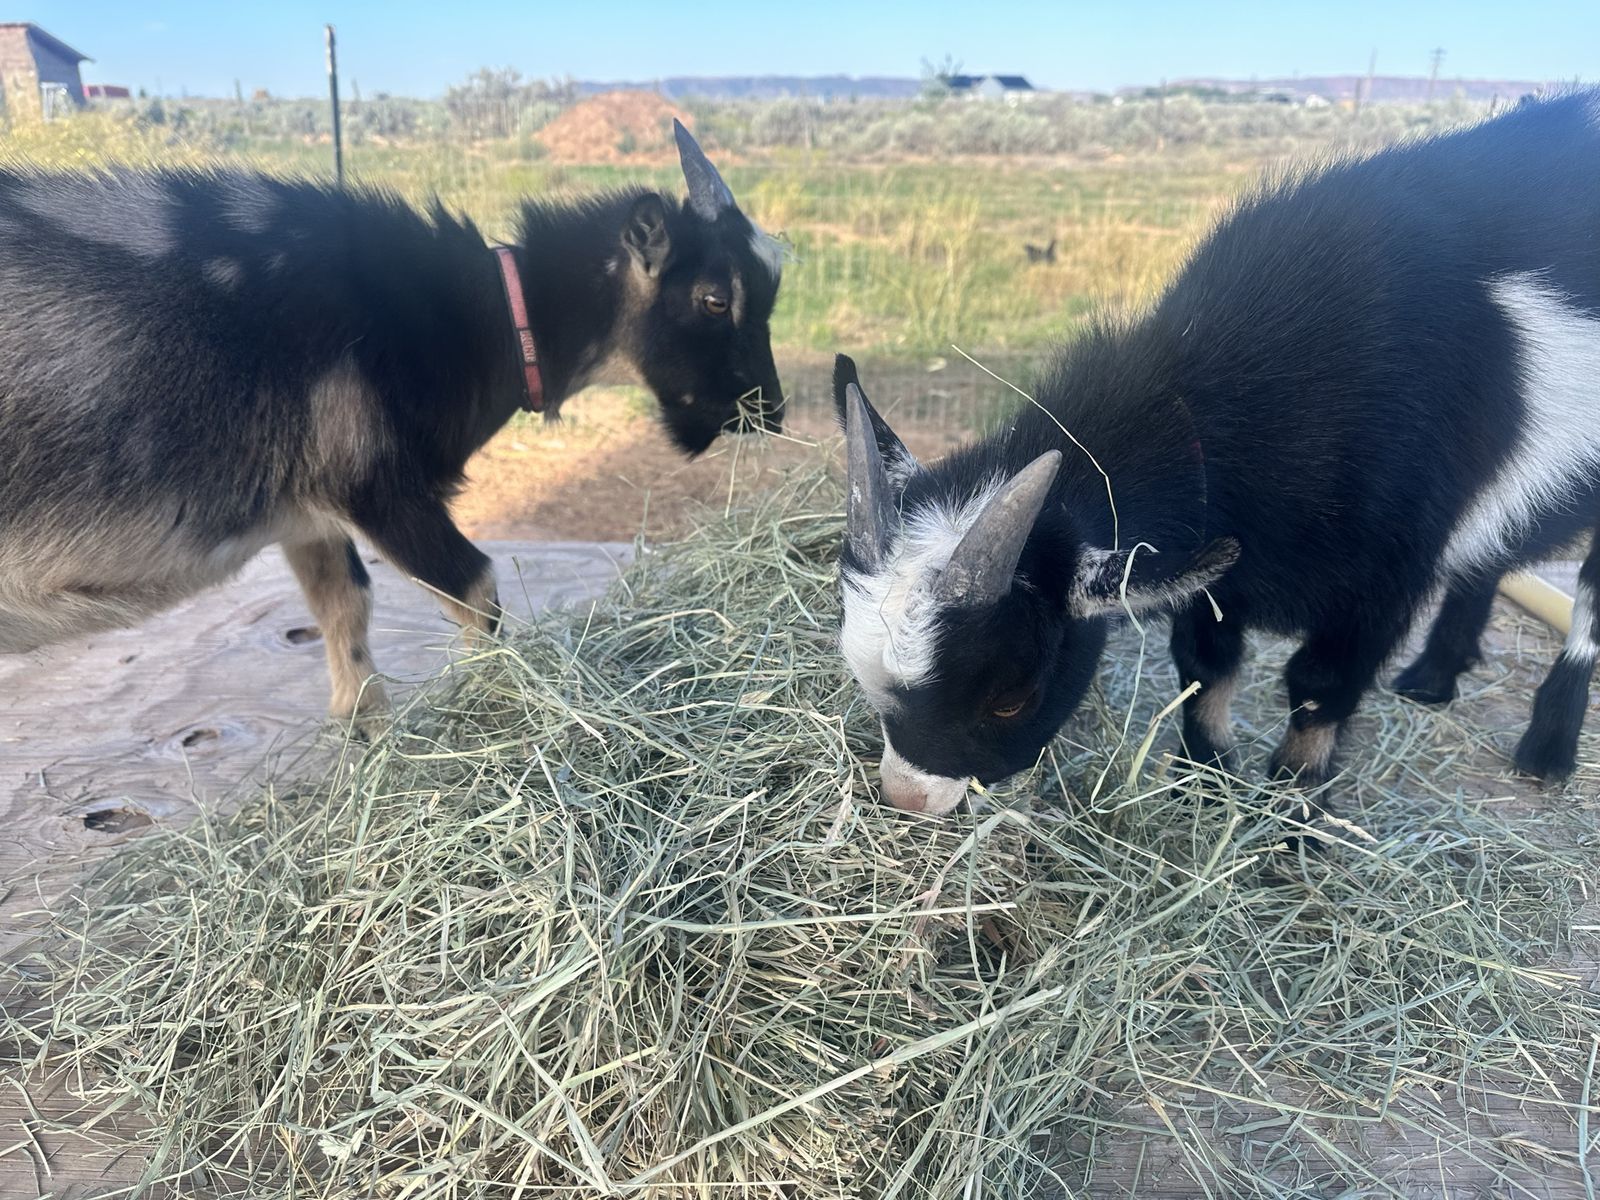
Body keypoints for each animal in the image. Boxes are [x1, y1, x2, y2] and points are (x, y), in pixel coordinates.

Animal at [0, 122, 785, 723]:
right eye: (716, 298)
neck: (468, 316)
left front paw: (362, 737)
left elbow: (345, 605)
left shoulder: (305, 508)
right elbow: (476, 590)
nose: (771, 410)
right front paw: (493, 706)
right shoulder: (377, 480)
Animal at [834, 89, 1600, 815]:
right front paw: (1203, 783)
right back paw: (1434, 678)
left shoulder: (1384, 581)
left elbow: (1319, 688)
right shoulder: (1217, 569)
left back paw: (1547, 747)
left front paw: (1292, 819)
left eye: (1011, 697)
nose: (909, 799)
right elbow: (1205, 665)